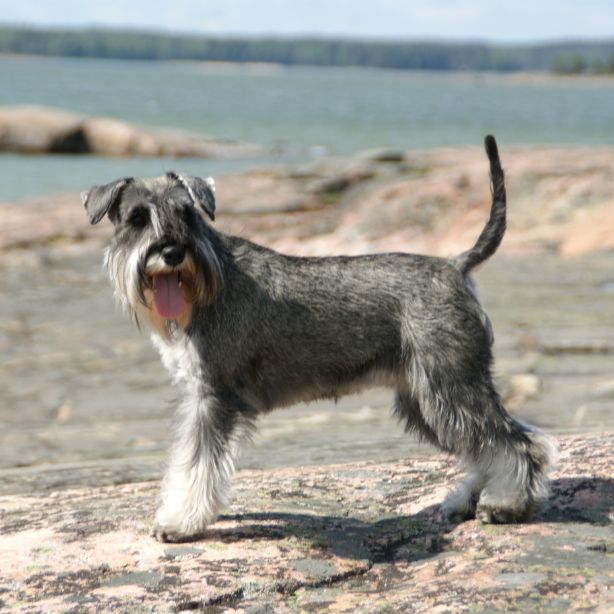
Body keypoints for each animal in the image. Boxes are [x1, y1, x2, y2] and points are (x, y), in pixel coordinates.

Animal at [80, 136, 552, 544]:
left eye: (189, 214)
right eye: (137, 218)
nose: (172, 252)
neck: (207, 286)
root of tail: (456, 265)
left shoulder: (213, 398)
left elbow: (197, 465)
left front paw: (180, 522)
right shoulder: (200, 396)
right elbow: (189, 462)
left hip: (450, 385)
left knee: (518, 442)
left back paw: (507, 504)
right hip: (426, 399)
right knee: (482, 444)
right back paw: (468, 499)